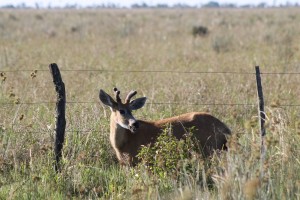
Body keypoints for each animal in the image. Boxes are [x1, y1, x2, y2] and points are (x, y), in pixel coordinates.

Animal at [99, 88, 231, 166]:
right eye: (121, 111)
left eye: (131, 110)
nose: (135, 124)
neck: (122, 145)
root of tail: (225, 128)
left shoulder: (139, 159)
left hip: (210, 148)